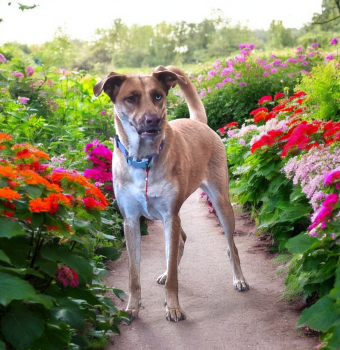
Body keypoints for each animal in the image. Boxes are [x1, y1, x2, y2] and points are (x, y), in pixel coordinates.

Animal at [92, 66, 247, 322]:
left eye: (158, 96)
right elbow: (134, 274)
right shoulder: (131, 221)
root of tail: (198, 122)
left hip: (220, 202)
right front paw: (132, 307)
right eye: (131, 98)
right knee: (180, 242)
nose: (153, 120)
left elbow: (174, 273)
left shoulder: (169, 216)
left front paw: (173, 307)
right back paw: (166, 271)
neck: (143, 160)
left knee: (230, 246)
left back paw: (239, 279)